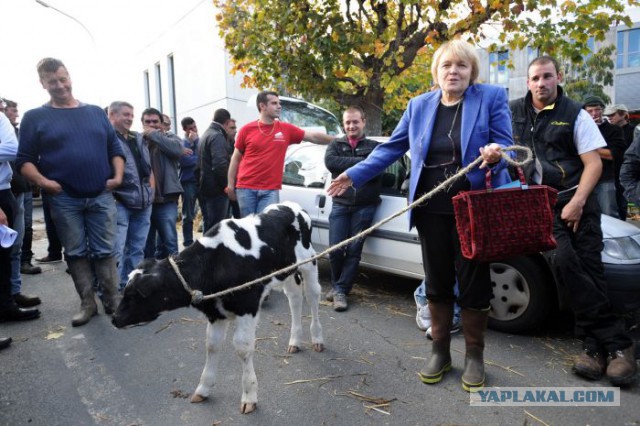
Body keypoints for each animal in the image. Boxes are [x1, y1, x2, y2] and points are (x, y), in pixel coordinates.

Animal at [111, 201, 324, 414]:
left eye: (134, 295)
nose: (114, 318)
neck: (215, 262)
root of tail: (292, 206)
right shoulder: (216, 313)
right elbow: (212, 345)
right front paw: (203, 389)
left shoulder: (247, 306)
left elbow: (242, 348)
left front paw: (249, 395)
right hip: (287, 272)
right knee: (294, 299)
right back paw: (295, 341)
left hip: (310, 262)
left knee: (312, 297)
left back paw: (317, 339)